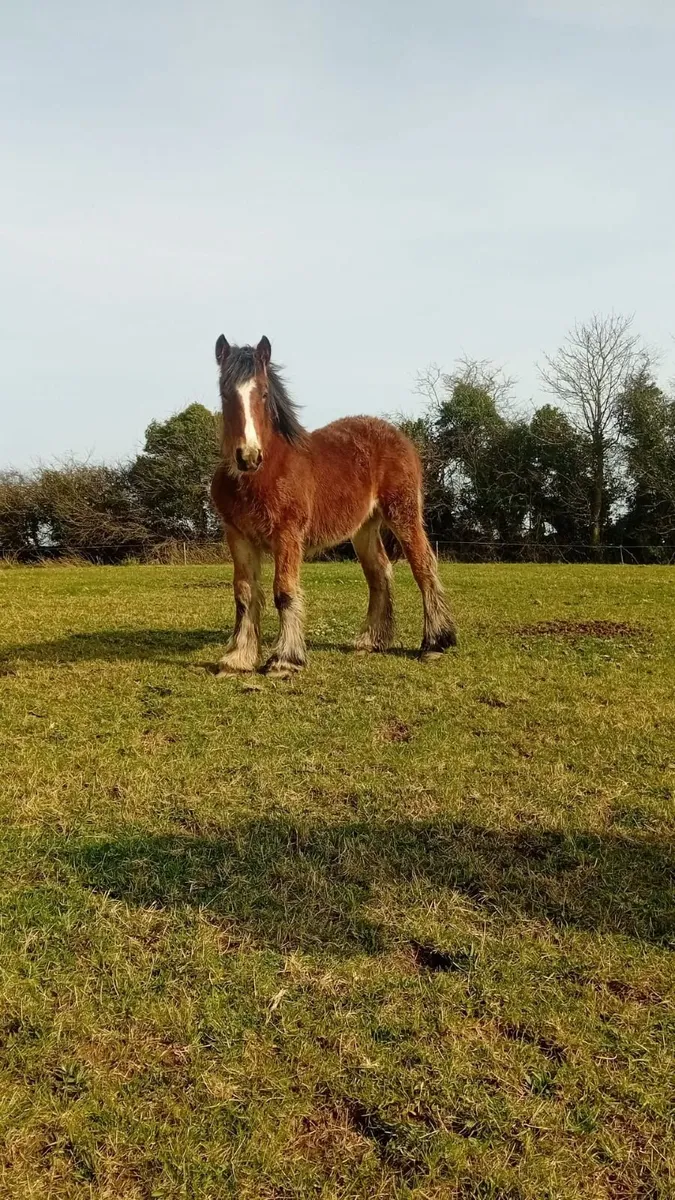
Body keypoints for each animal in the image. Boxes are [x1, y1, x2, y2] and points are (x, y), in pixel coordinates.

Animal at [210, 335, 457, 676]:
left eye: (263, 393)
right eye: (224, 392)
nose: (248, 456)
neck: (263, 473)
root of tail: (399, 436)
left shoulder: (288, 535)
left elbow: (284, 591)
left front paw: (284, 660)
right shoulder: (238, 536)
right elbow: (244, 594)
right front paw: (237, 659)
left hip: (403, 513)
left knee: (423, 566)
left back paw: (435, 644)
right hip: (364, 527)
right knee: (379, 572)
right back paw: (370, 641)